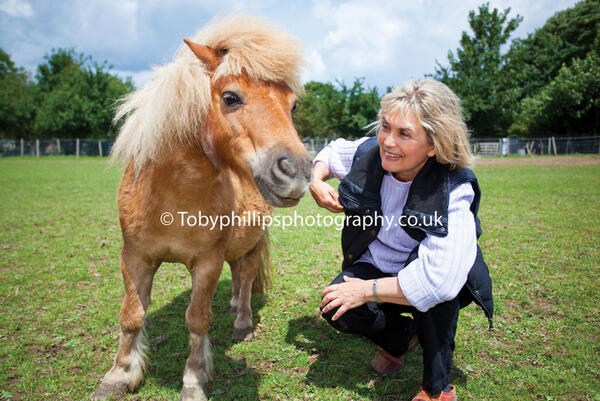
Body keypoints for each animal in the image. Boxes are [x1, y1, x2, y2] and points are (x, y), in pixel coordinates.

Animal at [92, 15, 314, 400]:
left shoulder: (207, 263)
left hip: (252, 244)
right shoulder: (134, 257)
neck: (173, 196)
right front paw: (119, 375)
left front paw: (194, 380)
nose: (297, 172)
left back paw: (242, 321)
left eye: (293, 106)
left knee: (245, 276)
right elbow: (131, 314)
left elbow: (198, 320)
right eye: (230, 97)